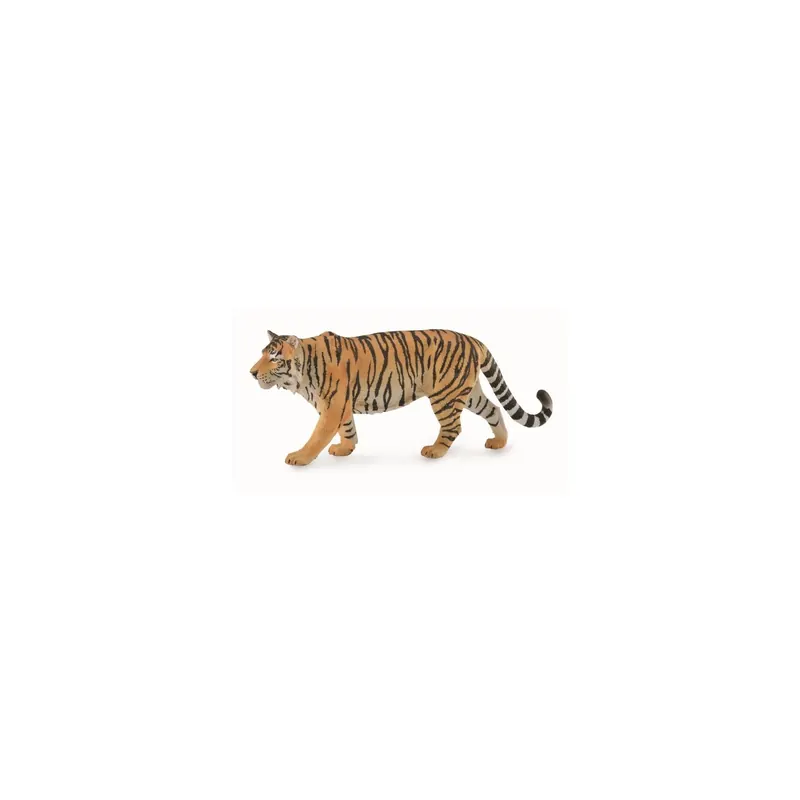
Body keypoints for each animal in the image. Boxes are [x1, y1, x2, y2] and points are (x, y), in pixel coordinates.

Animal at [250, 329, 553, 466]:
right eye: (263, 354)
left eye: (273, 357)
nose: (251, 373)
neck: (301, 376)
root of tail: (473, 339)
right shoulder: (342, 406)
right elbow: (348, 430)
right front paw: (345, 449)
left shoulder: (332, 407)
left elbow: (317, 437)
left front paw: (298, 457)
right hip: (466, 392)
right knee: (493, 409)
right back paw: (498, 443)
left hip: (444, 395)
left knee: (453, 426)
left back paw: (435, 451)